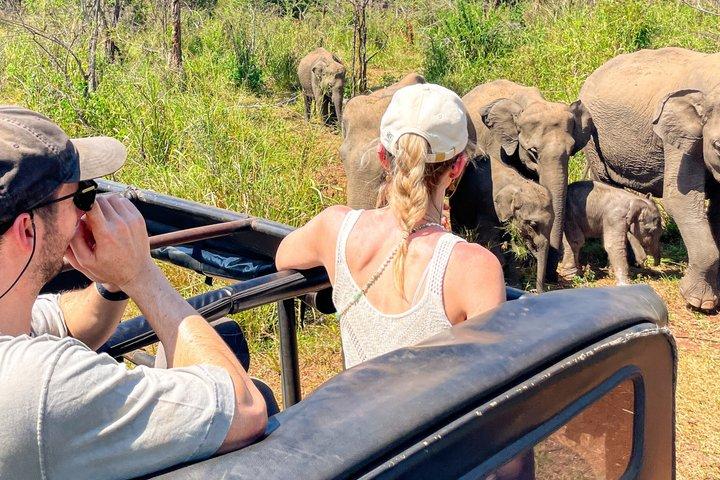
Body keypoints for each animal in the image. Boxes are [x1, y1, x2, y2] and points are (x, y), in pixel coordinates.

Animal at [450, 155, 554, 292]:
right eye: (532, 224)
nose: (536, 292)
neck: (519, 184)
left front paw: (515, 285)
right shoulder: (487, 206)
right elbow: (488, 237)